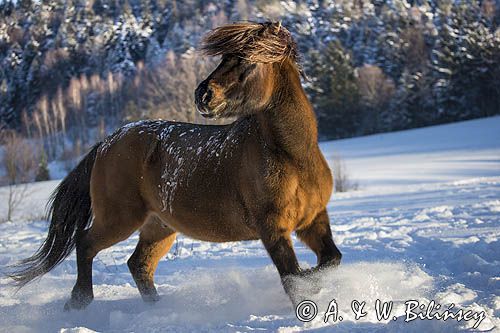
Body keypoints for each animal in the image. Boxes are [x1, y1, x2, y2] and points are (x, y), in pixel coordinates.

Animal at [9, 22, 342, 310]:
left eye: (247, 61)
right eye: (225, 57)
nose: (203, 94)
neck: (293, 156)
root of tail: (106, 143)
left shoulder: (313, 219)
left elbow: (330, 260)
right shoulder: (273, 229)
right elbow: (293, 278)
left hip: (159, 226)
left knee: (139, 264)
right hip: (120, 219)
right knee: (86, 243)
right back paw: (79, 301)